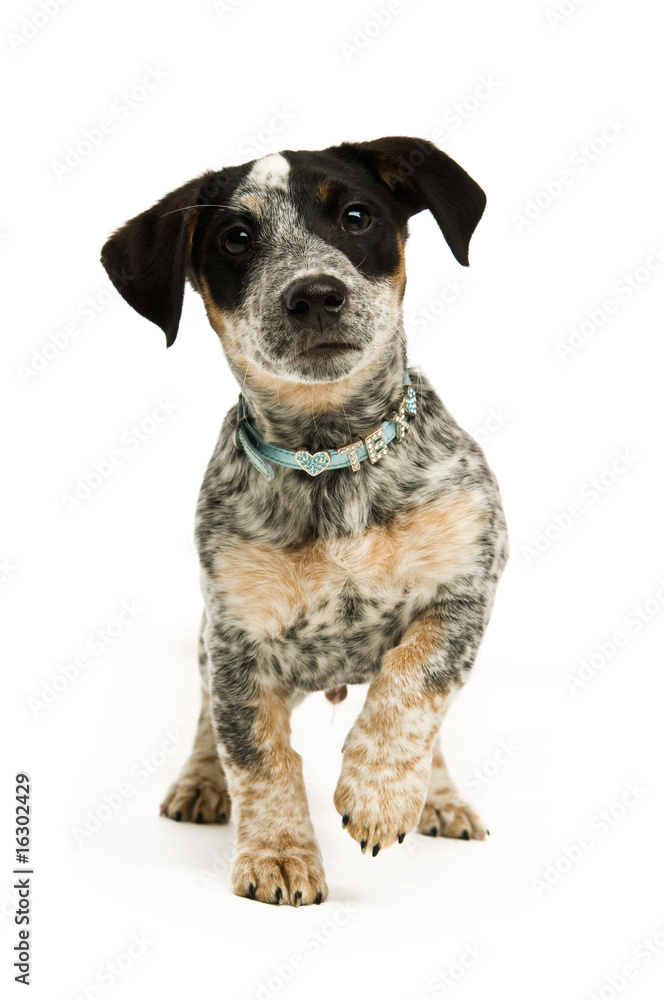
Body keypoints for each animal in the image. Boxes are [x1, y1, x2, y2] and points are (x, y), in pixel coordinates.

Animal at [101, 137, 508, 912]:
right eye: (236, 237)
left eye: (355, 216)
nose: (315, 292)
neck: (331, 460)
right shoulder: (237, 638)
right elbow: (258, 755)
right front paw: (280, 855)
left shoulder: (465, 589)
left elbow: (415, 683)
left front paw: (381, 795)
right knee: (207, 722)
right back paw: (200, 782)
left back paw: (437, 797)